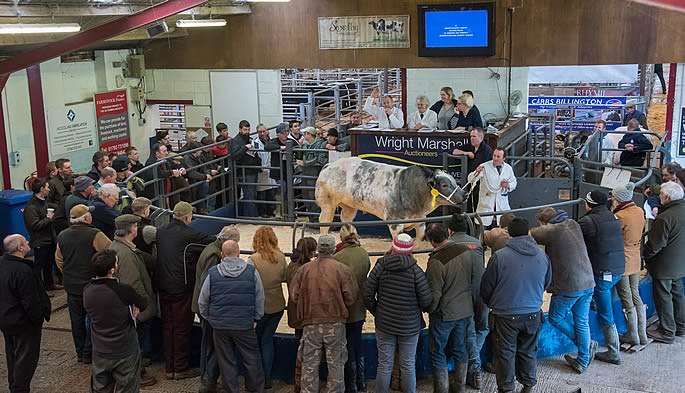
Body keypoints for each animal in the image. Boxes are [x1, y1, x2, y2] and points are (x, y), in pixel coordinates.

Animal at [316, 157, 464, 239]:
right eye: (444, 185)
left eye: (454, 181)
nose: (465, 194)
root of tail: (328, 166)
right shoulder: (395, 223)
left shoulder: (420, 221)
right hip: (328, 204)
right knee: (324, 223)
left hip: (349, 207)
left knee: (346, 221)